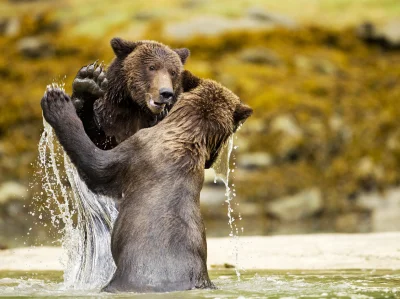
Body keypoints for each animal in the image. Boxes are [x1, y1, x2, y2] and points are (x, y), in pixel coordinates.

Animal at [40, 70, 253, 292]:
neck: (185, 137)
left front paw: (57, 102)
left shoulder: (136, 148)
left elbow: (95, 164)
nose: (213, 159)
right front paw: (89, 83)